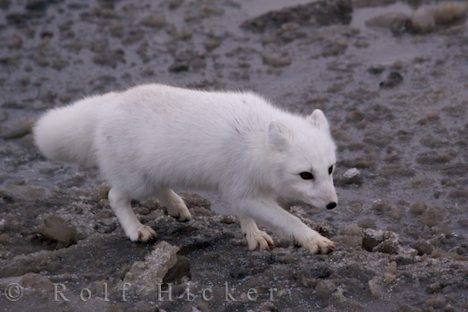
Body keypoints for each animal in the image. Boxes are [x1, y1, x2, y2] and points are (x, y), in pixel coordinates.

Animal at [34, 84, 338, 254]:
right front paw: (315, 240)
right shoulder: (244, 189)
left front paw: (253, 235)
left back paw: (177, 207)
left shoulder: (239, 188)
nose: (333, 205)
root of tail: (110, 103)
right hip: (136, 182)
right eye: (305, 175)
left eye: (330, 169)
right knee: (114, 196)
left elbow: (244, 213)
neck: (257, 143)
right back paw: (137, 230)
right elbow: (289, 220)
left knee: (159, 188)